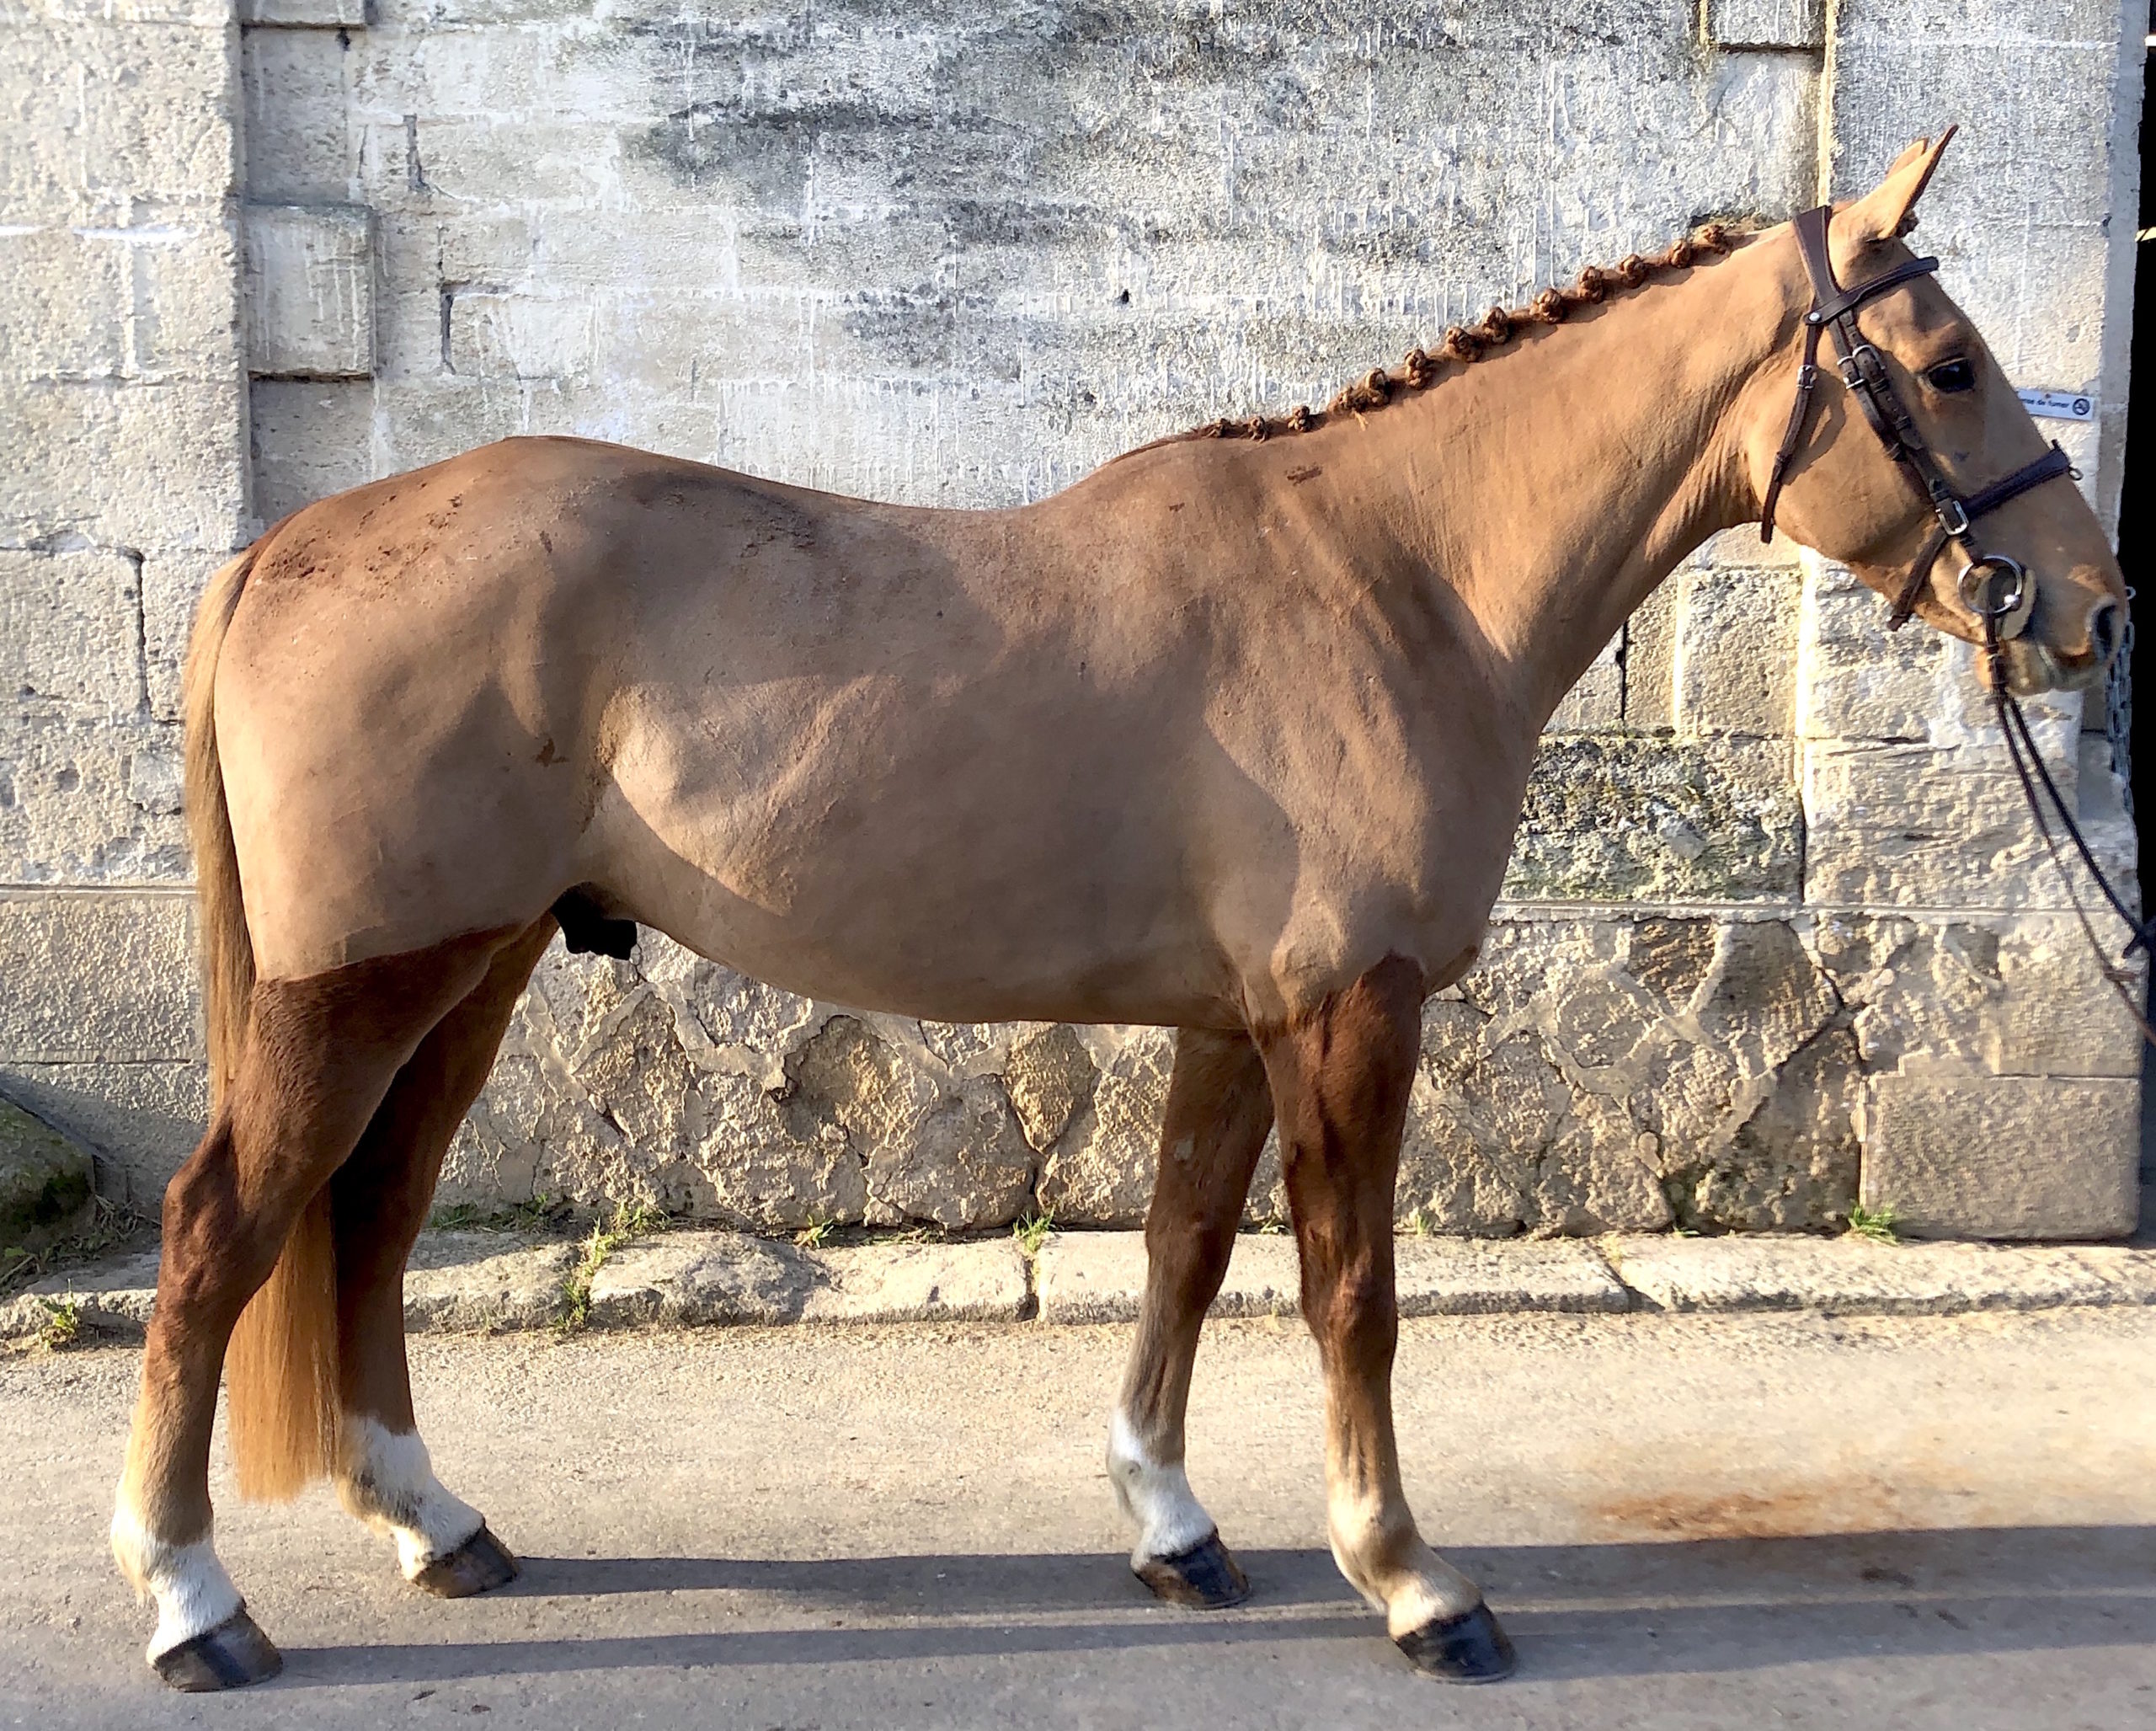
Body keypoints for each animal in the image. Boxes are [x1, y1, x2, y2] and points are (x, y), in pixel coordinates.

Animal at [112, 131, 2126, 1690]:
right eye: (1945, 362)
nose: (2094, 610)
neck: (1395, 577)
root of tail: (287, 544)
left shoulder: (1236, 1021)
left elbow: (1182, 1252)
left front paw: (1173, 1524)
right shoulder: (1349, 1010)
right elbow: (1351, 1294)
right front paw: (1410, 1579)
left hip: (479, 969)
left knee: (369, 1221)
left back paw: (432, 1521)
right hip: (359, 988)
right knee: (221, 1234)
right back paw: (195, 1600)